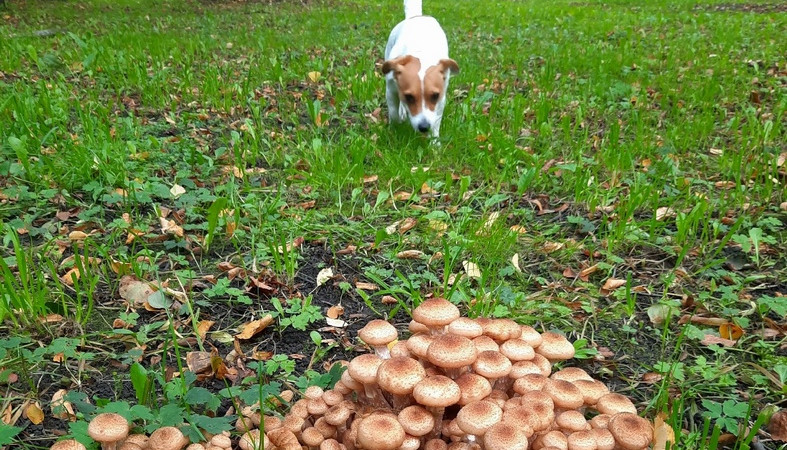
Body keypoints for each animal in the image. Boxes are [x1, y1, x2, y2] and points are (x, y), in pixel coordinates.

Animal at [380, 0, 456, 139]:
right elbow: (393, 113)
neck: (421, 53)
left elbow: (436, 120)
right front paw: (395, 128)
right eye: (409, 97)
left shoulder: (441, 98)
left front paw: (434, 141)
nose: (424, 127)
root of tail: (416, 16)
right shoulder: (391, 90)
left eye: (435, 96)